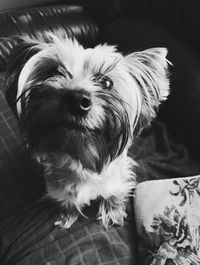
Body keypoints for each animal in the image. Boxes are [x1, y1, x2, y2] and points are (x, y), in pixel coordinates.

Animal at [4, 32, 170, 227]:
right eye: (53, 72)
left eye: (107, 82)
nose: (76, 99)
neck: (82, 157)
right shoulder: (57, 183)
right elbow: (66, 198)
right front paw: (67, 214)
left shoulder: (118, 176)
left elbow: (114, 193)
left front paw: (113, 212)